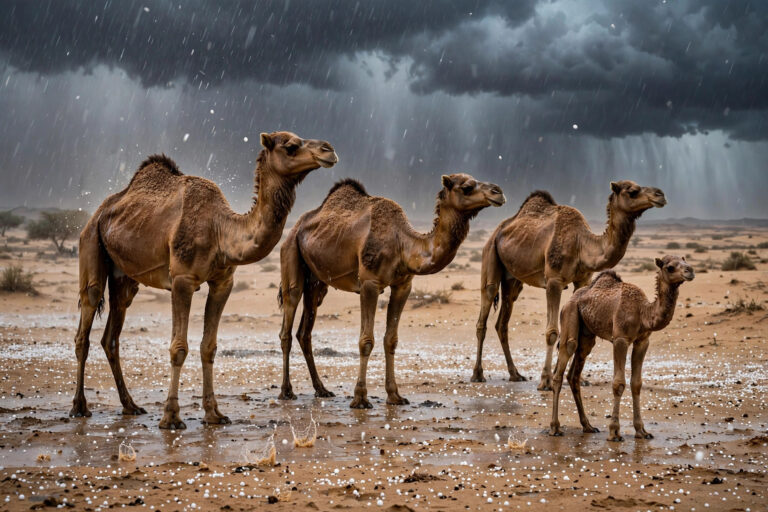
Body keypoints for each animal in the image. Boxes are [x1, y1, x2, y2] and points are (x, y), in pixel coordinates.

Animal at [70, 131, 337, 428]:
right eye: (290, 146)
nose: (328, 150)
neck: (220, 229)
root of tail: (101, 211)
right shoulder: (182, 280)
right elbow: (178, 347)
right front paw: (171, 417)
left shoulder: (223, 283)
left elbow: (209, 346)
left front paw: (214, 414)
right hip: (91, 242)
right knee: (86, 322)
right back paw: (79, 407)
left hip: (124, 276)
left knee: (112, 334)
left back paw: (131, 405)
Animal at [278, 174, 505, 408]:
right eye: (467, 187)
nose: (498, 192)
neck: (402, 243)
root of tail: (297, 226)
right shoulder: (369, 283)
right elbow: (366, 341)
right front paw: (360, 398)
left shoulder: (402, 286)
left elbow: (391, 339)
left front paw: (395, 395)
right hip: (291, 253)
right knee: (287, 322)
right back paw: (287, 391)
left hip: (316, 282)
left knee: (304, 331)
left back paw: (321, 389)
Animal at [471, 180, 667, 390]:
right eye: (632, 191)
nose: (660, 195)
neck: (581, 243)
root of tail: (499, 230)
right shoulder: (554, 280)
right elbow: (551, 332)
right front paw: (546, 380)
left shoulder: (583, 280)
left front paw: (581, 379)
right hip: (490, 254)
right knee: (485, 309)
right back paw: (477, 374)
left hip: (512, 279)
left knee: (503, 321)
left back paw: (515, 374)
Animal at [549, 255, 694, 441]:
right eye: (670, 267)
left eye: (685, 261)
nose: (690, 271)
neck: (642, 312)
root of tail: (571, 300)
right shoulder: (620, 339)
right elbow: (618, 383)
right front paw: (614, 432)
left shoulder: (642, 341)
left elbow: (636, 383)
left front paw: (642, 431)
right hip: (569, 316)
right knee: (563, 363)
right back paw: (555, 428)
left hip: (587, 335)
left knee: (574, 373)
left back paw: (588, 426)